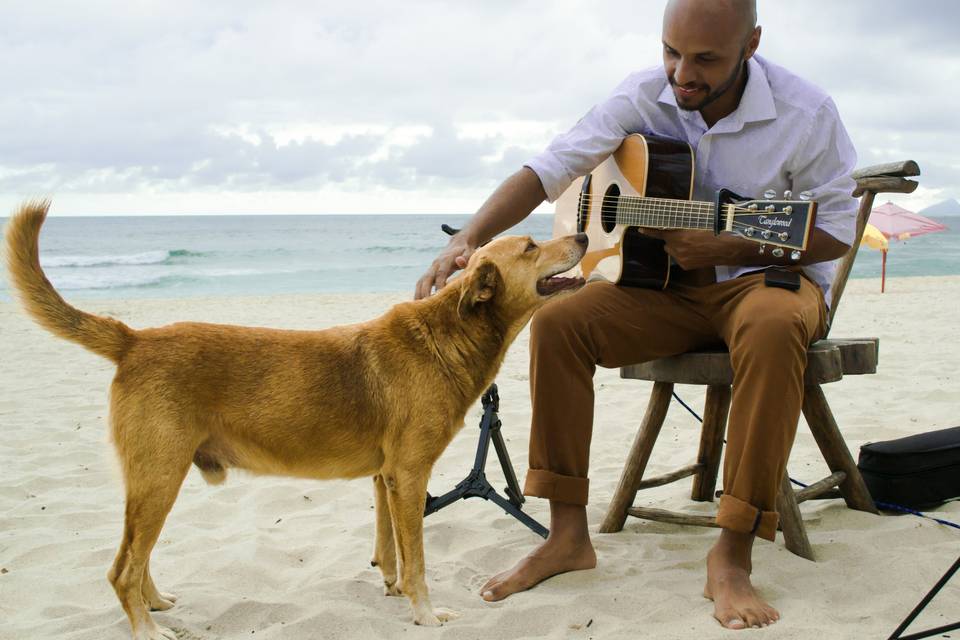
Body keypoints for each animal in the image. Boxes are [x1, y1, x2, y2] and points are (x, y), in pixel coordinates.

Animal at [3, 202, 584, 640]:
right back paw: (145, 629)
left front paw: (393, 589)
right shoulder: (409, 476)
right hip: (160, 477)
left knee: (136, 558)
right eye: (530, 247)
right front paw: (424, 613)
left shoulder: (386, 478)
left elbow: (391, 550)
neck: (448, 336)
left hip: (154, 481)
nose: (581, 232)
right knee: (122, 568)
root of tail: (134, 339)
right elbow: (417, 560)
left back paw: (156, 604)